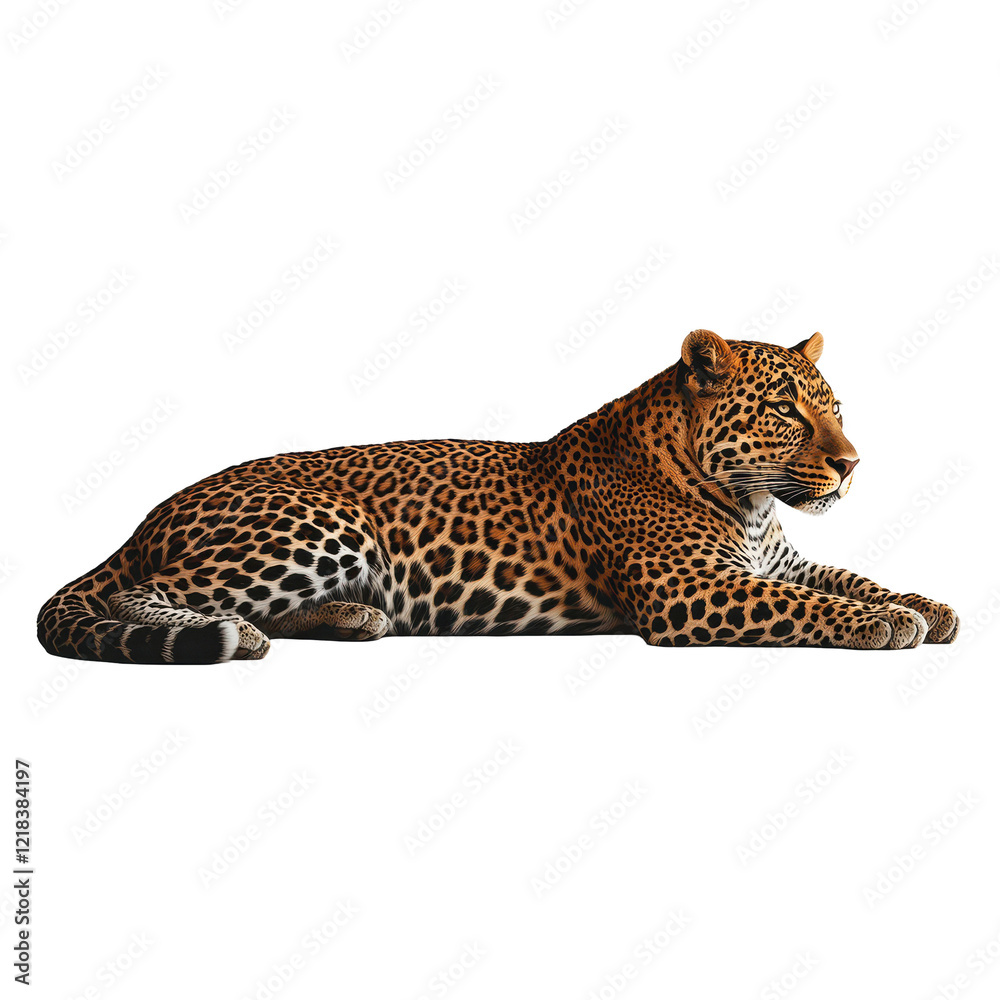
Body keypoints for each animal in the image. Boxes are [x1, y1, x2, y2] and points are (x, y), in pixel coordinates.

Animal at [37, 329, 958, 663]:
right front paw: (884, 624)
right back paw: (234, 633)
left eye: (836, 410)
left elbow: (846, 576)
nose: (854, 463)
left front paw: (925, 604)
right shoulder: (686, 590)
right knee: (143, 593)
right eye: (784, 412)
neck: (750, 503)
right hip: (319, 521)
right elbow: (812, 605)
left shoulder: (776, 559)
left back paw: (357, 617)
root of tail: (152, 512)